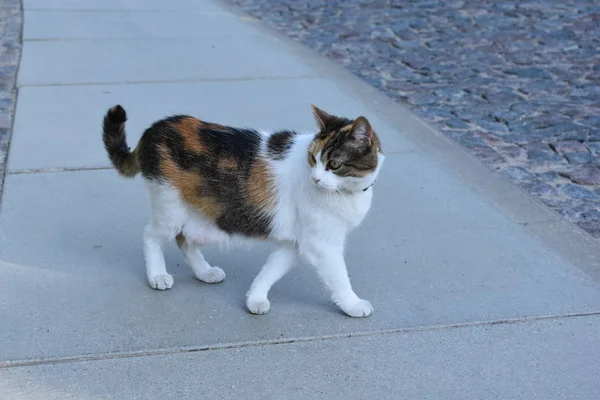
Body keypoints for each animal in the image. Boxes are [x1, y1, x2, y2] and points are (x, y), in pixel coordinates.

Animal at [102, 104, 384, 318]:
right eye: (313, 159)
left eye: (334, 164)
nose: (315, 178)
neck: (349, 192)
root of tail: (155, 128)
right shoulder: (323, 245)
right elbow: (339, 277)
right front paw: (353, 304)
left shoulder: (294, 242)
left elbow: (272, 269)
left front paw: (255, 298)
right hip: (170, 207)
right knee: (152, 236)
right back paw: (158, 275)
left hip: (196, 213)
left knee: (185, 240)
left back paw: (204, 272)